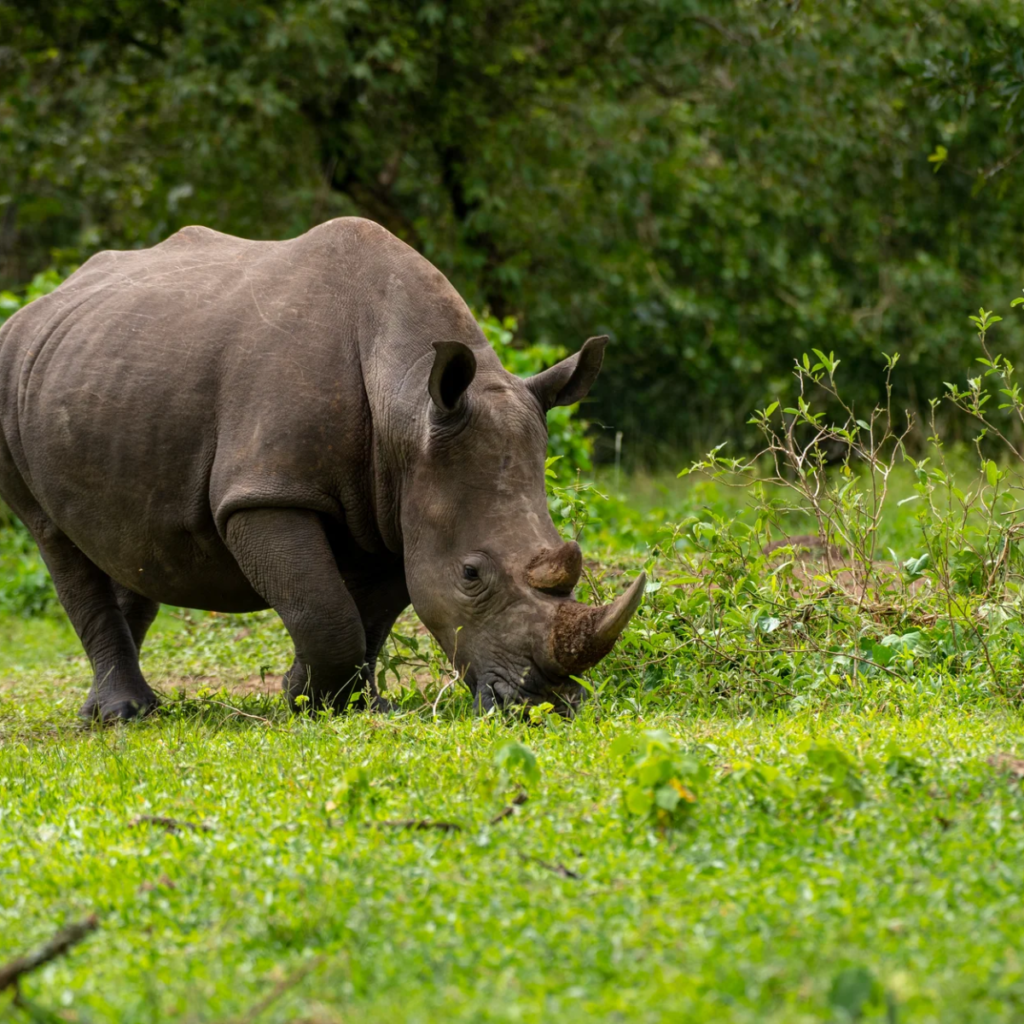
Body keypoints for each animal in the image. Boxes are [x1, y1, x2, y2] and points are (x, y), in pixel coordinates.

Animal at [0, 218, 644, 721]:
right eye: (471, 575)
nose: (546, 705)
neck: (408, 404)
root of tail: (39, 304)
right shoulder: (267, 491)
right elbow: (326, 611)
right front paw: (311, 700)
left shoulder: (399, 501)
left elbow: (371, 616)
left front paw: (346, 702)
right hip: (11, 374)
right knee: (54, 538)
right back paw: (123, 715)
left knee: (132, 544)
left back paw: (122, 706)